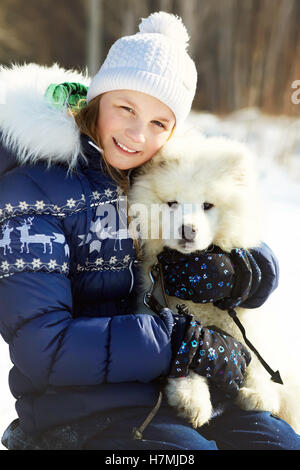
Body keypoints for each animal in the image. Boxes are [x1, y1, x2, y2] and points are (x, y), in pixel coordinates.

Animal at [127, 131, 300, 434]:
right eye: (172, 203)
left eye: (207, 205)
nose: (188, 229)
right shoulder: (165, 312)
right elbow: (187, 352)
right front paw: (191, 399)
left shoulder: (246, 318)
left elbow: (257, 355)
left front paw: (259, 394)